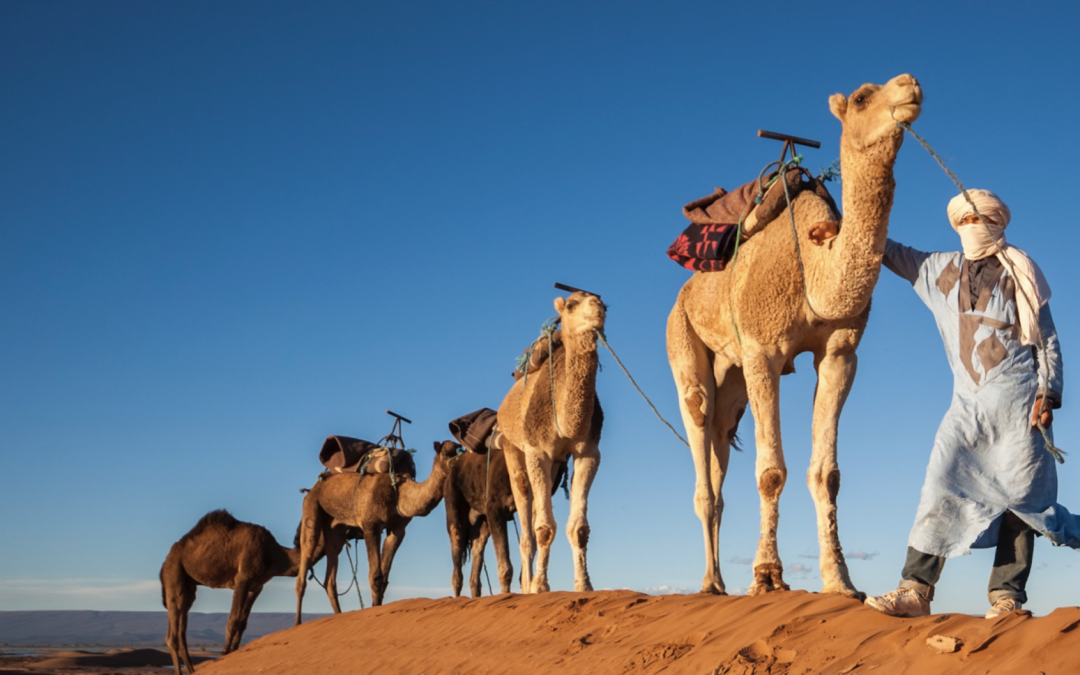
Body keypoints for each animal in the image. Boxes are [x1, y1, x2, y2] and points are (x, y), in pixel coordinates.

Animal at [159, 507, 315, 669]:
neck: (274, 554)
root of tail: (165, 562)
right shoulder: (243, 578)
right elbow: (233, 620)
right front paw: (225, 654)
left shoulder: (256, 587)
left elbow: (242, 622)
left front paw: (233, 651)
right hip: (174, 572)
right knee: (173, 632)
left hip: (188, 585)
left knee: (182, 627)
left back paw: (191, 670)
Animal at [295, 436, 460, 622]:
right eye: (446, 453)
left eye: (459, 449)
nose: (461, 462)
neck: (399, 491)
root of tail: (313, 488)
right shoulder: (370, 525)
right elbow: (375, 576)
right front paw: (374, 611)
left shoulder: (397, 530)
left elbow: (384, 578)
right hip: (311, 510)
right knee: (303, 568)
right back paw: (298, 623)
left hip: (335, 528)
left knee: (330, 577)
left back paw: (338, 616)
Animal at [498, 289, 609, 587]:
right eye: (571, 305)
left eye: (605, 304)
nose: (598, 307)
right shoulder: (537, 451)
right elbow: (544, 529)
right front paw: (540, 586)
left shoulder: (588, 452)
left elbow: (579, 528)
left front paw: (584, 584)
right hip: (512, 447)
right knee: (526, 514)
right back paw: (527, 587)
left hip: (556, 465)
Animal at [660, 75, 924, 596]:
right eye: (862, 97)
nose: (911, 86)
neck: (814, 267)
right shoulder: (764, 350)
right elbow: (770, 472)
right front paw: (766, 576)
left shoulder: (840, 353)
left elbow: (827, 473)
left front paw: (840, 580)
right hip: (682, 337)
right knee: (699, 428)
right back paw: (710, 583)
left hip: (733, 373)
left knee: (721, 439)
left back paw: (719, 580)